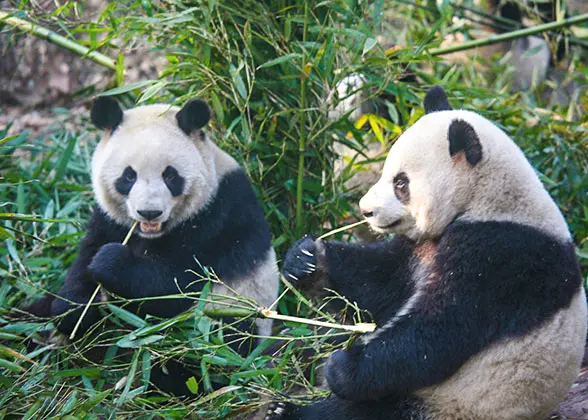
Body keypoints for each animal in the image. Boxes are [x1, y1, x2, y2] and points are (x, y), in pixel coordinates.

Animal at [28, 97, 282, 392]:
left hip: (224, 320)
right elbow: (84, 263)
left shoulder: (215, 219)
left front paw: (111, 261)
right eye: (128, 176)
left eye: (170, 176)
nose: (149, 212)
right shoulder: (109, 220)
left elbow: (174, 285)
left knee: (200, 353)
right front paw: (74, 311)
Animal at [268, 86, 584, 420]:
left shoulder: (501, 256)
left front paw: (342, 366)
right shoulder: (421, 248)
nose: (365, 210)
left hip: (451, 403)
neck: (487, 199)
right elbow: (379, 281)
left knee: (363, 411)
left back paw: (288, 408)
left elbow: (440, 329)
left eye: (401, 183)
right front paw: (306, 259)